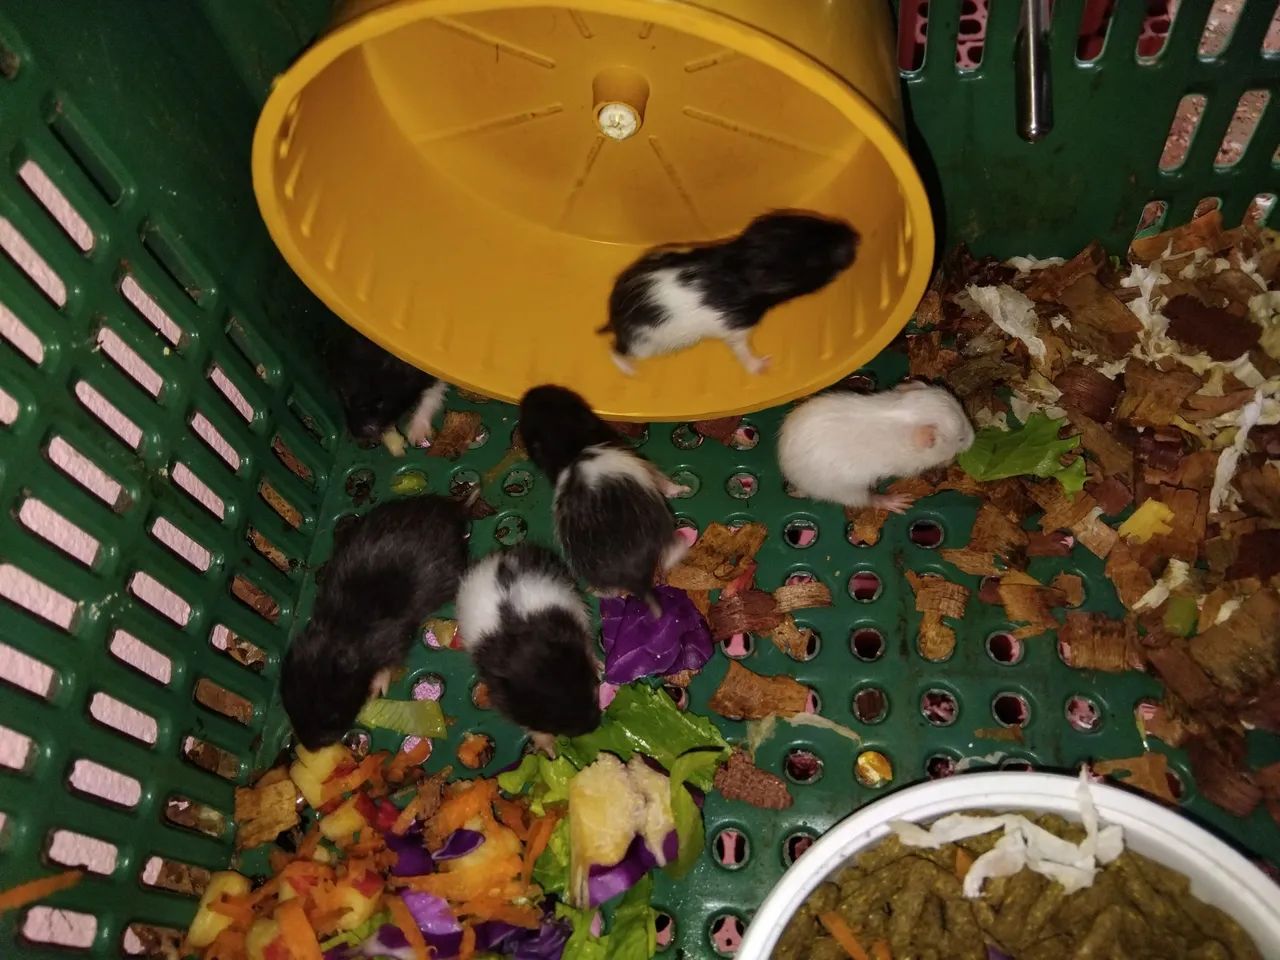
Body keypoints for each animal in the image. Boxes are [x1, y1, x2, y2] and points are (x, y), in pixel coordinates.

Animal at [281, 495, 469, 750]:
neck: (335, 636)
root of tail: (451, 509)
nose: (311, 747)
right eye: (291, 710)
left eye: (333, 718)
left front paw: (377, 688)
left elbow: (386, 668)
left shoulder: (393, 642)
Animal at [456, 544, 602, 749]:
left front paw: (600, 668)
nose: (594, 726)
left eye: (593, 689)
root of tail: (501, 556)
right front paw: (550, 750)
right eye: (548, 722)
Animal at [519, 385, 689, 615]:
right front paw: (682, 489)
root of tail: (636, 578)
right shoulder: (638, 461)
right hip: (661, 530)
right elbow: (662, 481)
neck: (571, 447)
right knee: (669, 553)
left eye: (560, 396)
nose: (531, 392)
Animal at [600, 211, 858, 375]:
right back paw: (631, 371)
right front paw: (764, 366)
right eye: (814, 263)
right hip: (644, 344)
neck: (742, 263)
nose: (855, 235)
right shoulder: (736, 329)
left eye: (810, 221)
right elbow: (742, 351)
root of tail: (613, 316)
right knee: (615, 350)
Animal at [777, 381, 975, 513]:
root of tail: (794, 480)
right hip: (847, 490)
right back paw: (895, 501)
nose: (974, 438)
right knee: (867, 500)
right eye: (960, 438)